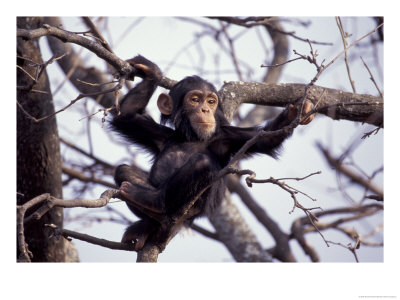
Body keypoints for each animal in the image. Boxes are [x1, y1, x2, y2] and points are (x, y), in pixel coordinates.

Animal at [111, 55, 314, 250]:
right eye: (195, 99)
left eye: (211, 101)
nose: (205, 109)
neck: (193, 137)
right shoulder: (159, 135)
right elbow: (125, 116)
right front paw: (151, 71)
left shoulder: (227, 137)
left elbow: (266, 139)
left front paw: (298, 111)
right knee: (123, 170)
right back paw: (145, 225)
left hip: (191, 209)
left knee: (201, 163)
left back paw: (153, 201)